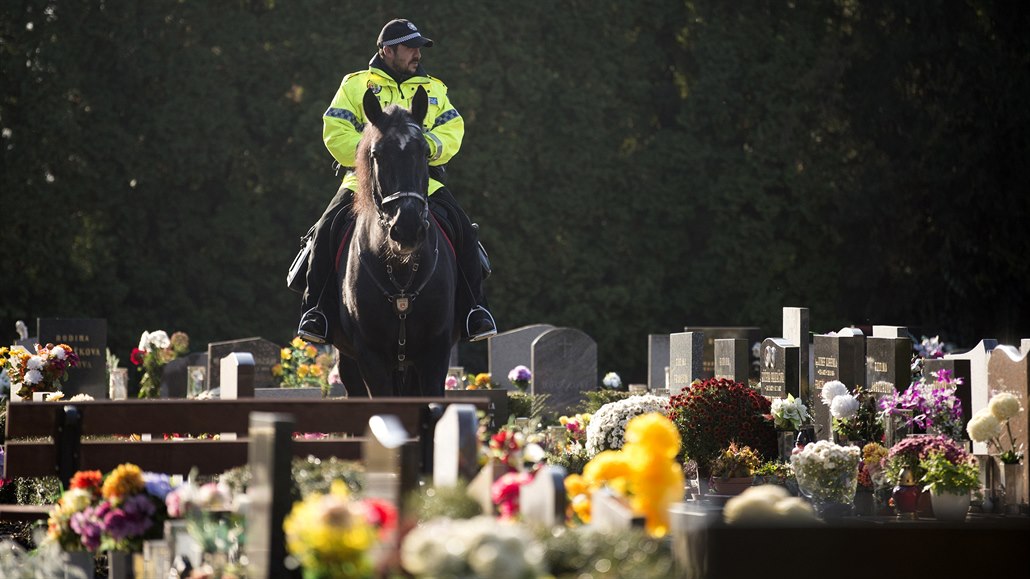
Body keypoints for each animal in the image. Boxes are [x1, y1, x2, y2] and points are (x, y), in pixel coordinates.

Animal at [331, 86, 457, 395]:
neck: (400, 269)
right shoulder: (369, 355)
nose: (407, 228)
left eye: (425, 151)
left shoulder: (435, 353)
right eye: (376, 154)